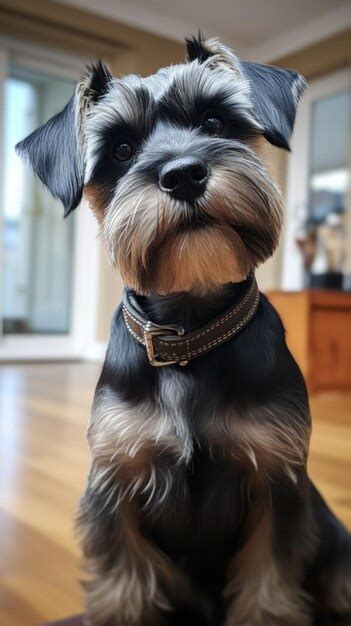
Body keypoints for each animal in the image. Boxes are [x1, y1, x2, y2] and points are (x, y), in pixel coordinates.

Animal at [17, 36, 351, 624]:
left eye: (215, 119)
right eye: (121, 150)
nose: (183, 173)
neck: (189, 333)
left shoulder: (276, 481)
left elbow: (268, 588)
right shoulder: (118, 482)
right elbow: (124, 589)